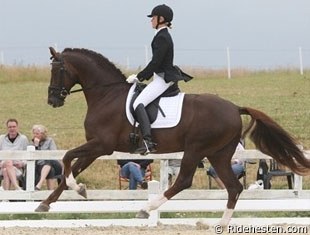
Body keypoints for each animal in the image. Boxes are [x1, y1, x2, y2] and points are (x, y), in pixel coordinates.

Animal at [36, 47, 310, 226]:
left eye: (57, 70)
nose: (51, 99)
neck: (106, 95)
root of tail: (235, 108)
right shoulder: (96, 148)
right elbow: (71, 169)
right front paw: (49, 202)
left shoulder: (102, 145)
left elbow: (67, 158)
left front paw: (76, 189)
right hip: (219, 154)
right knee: (233, 187)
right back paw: (221, 226)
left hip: (196, 149)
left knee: (184, 181)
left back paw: (146, 209)